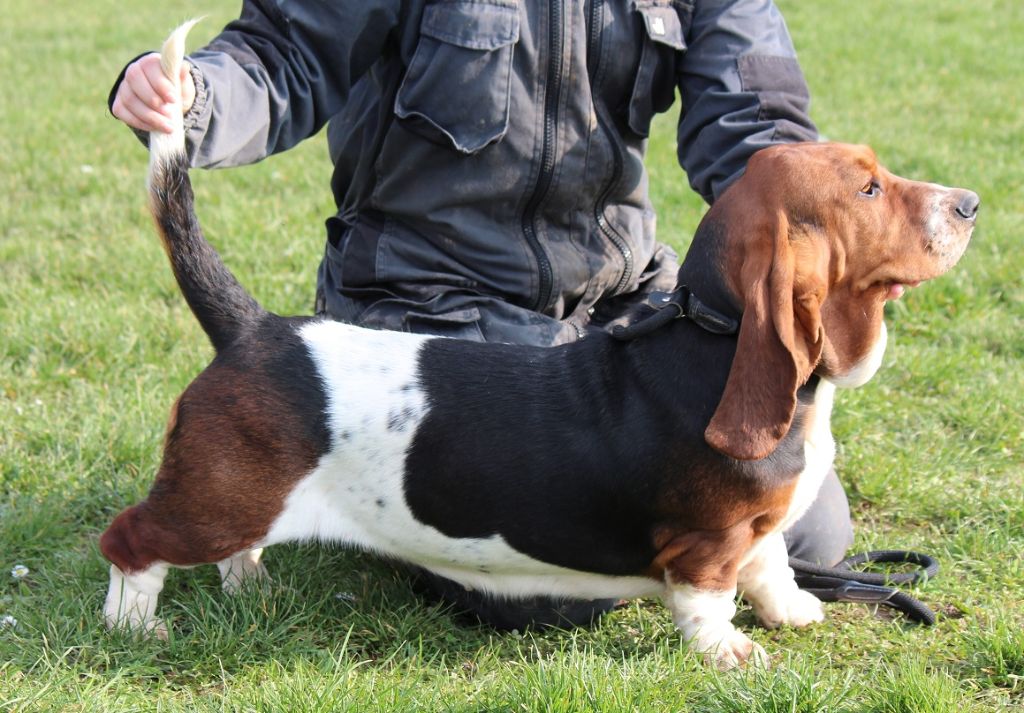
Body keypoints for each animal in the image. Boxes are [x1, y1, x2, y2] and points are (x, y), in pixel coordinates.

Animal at [101, 23, 974, 667]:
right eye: (869, 188)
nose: (969, 202)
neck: (717, 337)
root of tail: (254, 327)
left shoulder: (759, 529)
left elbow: (772, 565)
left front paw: (795, 611)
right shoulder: (707, 542)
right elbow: (710, 594)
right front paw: (731, 652)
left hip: (238, 504)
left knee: (225, 548)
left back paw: (251, 585)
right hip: (211, 499)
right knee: (131, 537)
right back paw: (133, 624)